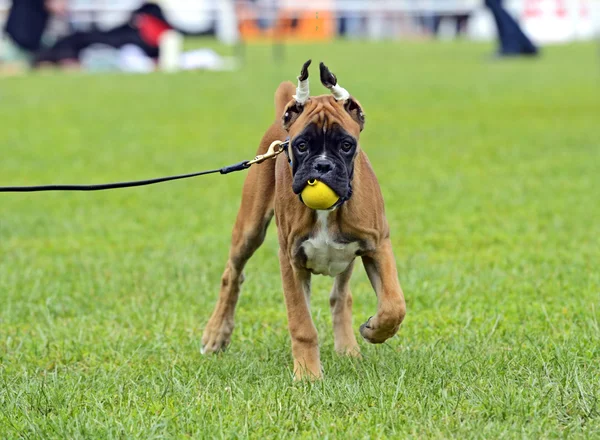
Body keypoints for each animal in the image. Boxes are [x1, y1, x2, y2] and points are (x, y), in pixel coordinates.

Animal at [203, 60, 408, 380]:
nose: (322, 166)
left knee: (341, 298)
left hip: (346, 260)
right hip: (250, 230)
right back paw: (216, 334)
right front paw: (309, 375)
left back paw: (348, 349)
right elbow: (302, 324)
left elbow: (394, 305)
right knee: (232, 276)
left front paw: (375, 330)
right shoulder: (291, 260)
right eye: (301, 145)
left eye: (346, 145)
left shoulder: (378, 246)